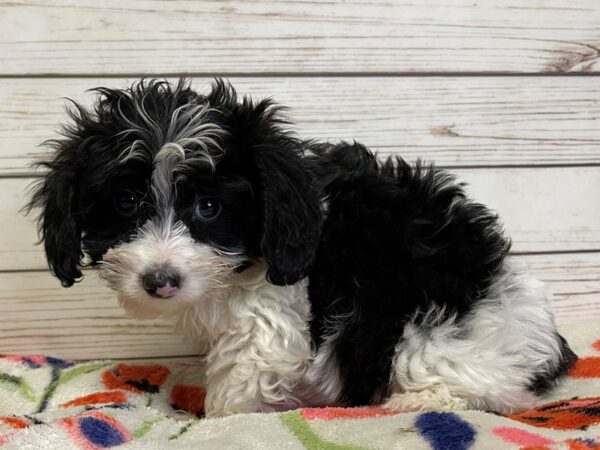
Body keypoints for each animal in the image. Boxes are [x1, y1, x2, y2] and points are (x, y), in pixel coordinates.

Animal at [29, 79, 576, 416]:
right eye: (126, 202)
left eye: (209, 207)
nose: (160, 281)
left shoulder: (271, 310)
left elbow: (243, 369)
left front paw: (218, 417)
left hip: (432, 328)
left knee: (483, 384)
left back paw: (415, 403)